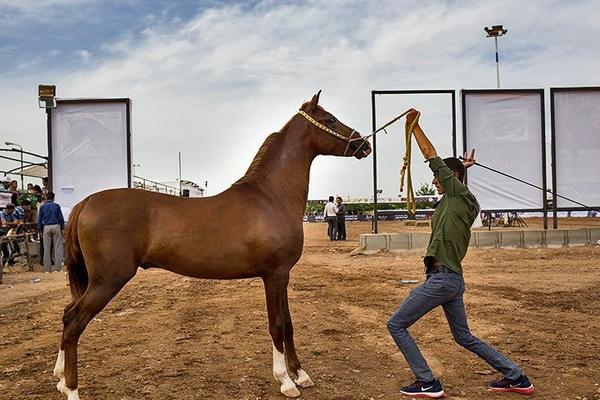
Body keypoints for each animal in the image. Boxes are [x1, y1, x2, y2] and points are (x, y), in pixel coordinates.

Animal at [52, 92, 370, 398]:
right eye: (330, 119)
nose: (364, 145)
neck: (271, 196)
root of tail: (87, 201)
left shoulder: (283, 276)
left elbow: (289, 325)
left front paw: (301, 375)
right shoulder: (274, 275)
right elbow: (277, 325)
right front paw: (285, 381)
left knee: (67, 313)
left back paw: (60, 378)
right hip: (107, 281)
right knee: (73, 320)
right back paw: (72, 389)